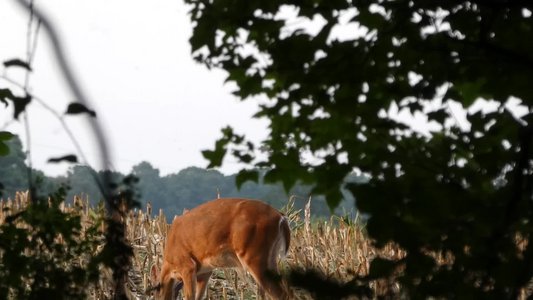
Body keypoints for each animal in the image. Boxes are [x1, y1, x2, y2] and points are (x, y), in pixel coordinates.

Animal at [150, 198, 290, 298]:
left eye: (154, 291)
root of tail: (281, 217)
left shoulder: (187, 265)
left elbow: (189, 297)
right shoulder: (205, 271)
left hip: (254, 255)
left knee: (283, 294)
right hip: (271, 257)